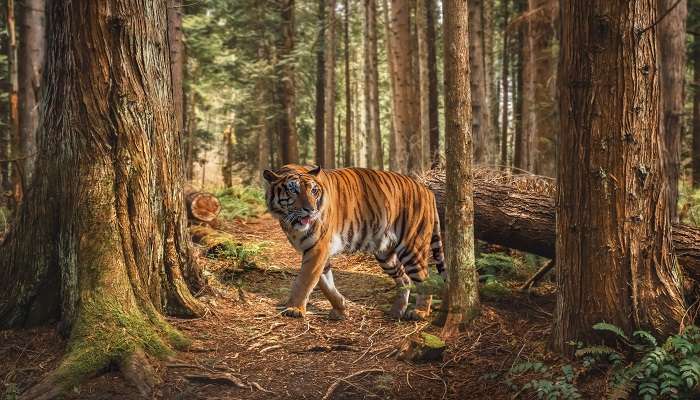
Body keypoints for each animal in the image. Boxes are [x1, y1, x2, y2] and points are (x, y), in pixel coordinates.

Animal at [262, 164, 442, 320]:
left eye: (314, 191)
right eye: (293, 190)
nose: (311, 210)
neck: (289, 222)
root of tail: (426, 189)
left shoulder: (318, 248)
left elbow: (305, 279)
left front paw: (294, 308)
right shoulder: (317, 251)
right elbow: (325, 283)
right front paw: (340, 309)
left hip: (412, 246)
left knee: (424, 278)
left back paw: (420, 312)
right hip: (385, 254)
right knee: (404, 279)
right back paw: (397, 310)